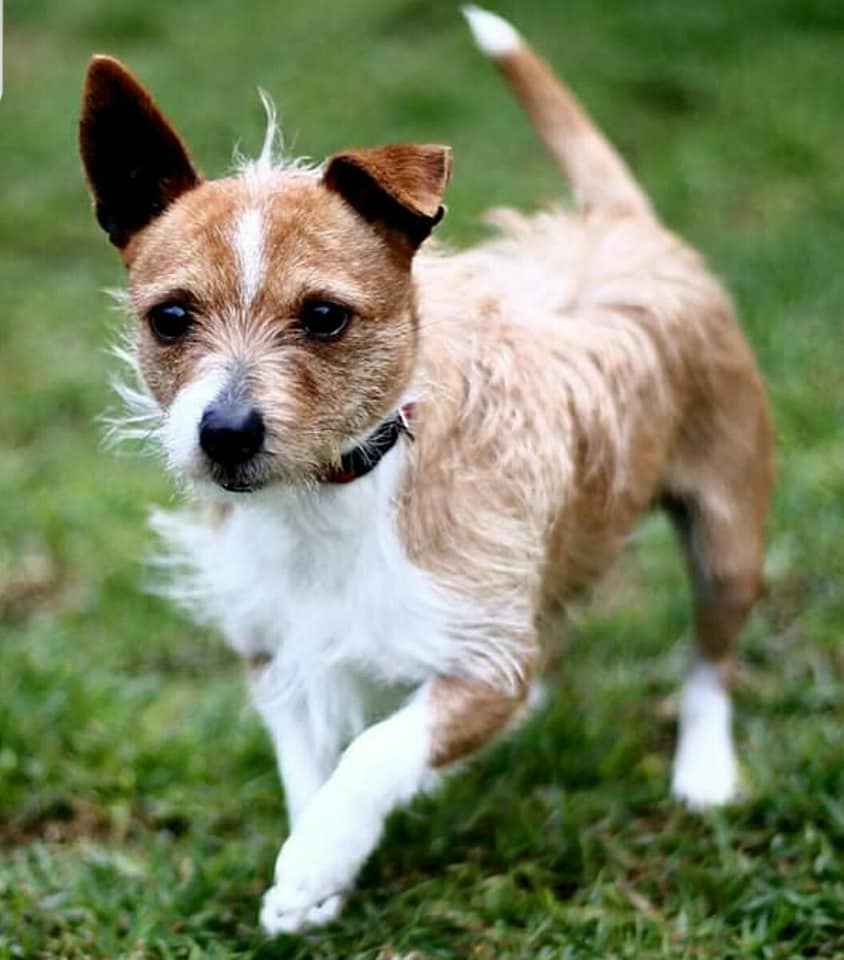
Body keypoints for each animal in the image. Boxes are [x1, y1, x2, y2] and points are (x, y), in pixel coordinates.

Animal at [79, 6, 773, 936]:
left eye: (325, 316)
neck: (335, 493)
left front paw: (314, 862)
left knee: (709, 663)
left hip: (728, 538)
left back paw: (704, 770)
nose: (223, 433)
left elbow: (376, 752)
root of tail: (623, 224)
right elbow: (312, 771)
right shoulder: (277, 656)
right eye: (171, 318)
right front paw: (319, 875)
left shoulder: (486, 661)